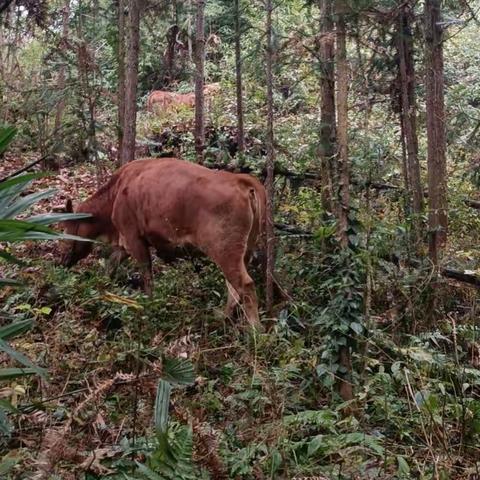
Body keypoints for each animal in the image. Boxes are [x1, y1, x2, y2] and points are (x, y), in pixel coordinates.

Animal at [60, 158, 266, 326]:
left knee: (244, 285)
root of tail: (241, 181)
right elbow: (110, 266)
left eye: (66, 230)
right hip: (244, 251)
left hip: (225, 252)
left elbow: (147, 277)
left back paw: (255, 331)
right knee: (234, 287)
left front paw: (149, 306)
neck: (115, 193)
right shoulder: (125, 244)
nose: (62, 260)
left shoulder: (135, 240)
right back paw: (223, 317)